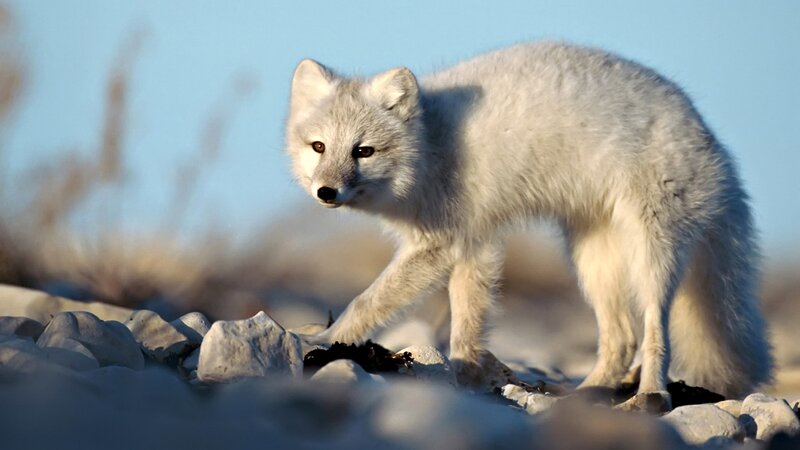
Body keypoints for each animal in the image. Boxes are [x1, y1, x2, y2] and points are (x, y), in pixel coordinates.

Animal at [284, 41, 773, 409]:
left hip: (651, 254)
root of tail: (710, 139)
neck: (431, 146)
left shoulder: (445, 244)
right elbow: (466, 325)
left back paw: (650, 396)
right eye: (319, 146)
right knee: (621, 338)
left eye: (363, 151)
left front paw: (325, 340)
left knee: (654, 331)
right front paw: (465, 376)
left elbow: (366, 301)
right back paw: (585, 393)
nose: (326, 192)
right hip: (592, 260)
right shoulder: (474, 245)